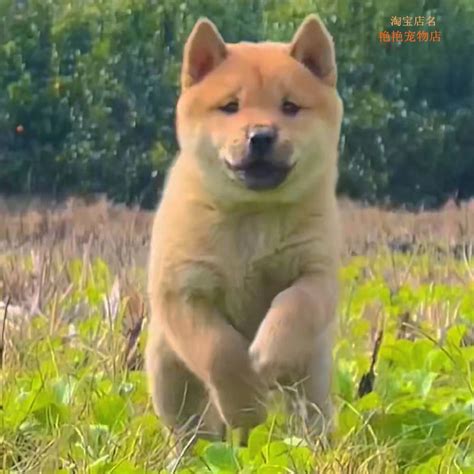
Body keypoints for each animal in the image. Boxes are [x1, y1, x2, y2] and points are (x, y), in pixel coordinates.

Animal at [145, 12, 344, 448]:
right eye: (230, 106)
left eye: (290, 106)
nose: (261, 135)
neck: (252, 215)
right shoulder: (183, 291)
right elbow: (218, 351)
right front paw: (245, 404)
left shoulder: (316, 270)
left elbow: (293, 304)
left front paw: (267, 355)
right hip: (167, 373)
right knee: (190, 426)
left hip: (314, 377)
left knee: (312, 416)